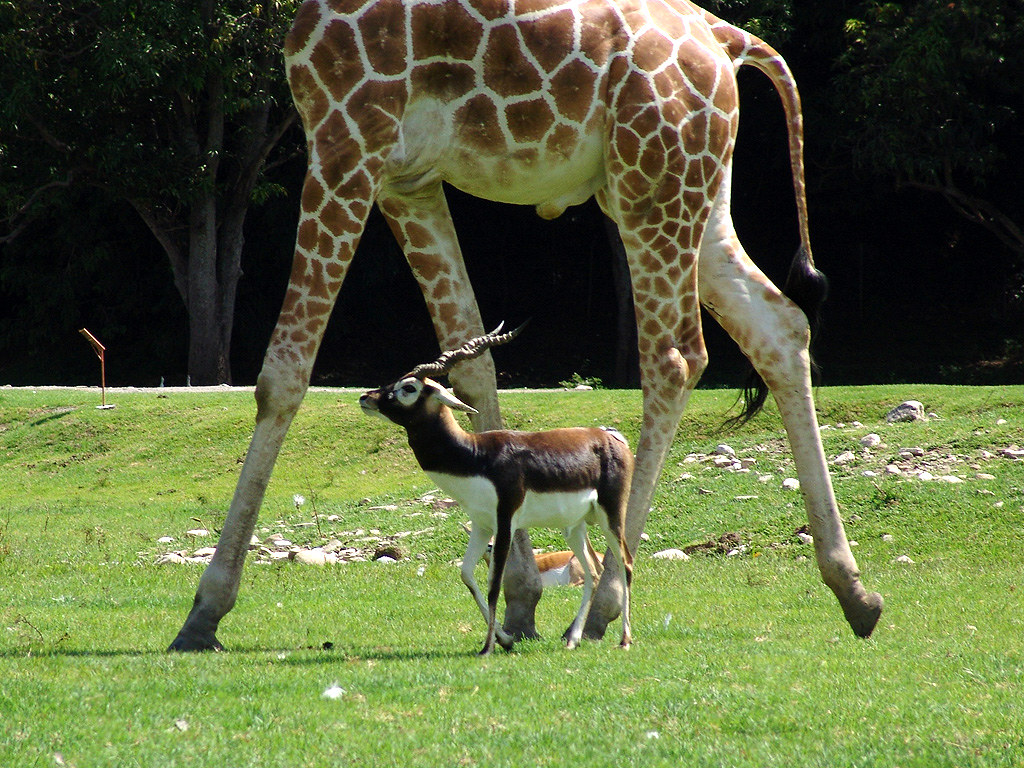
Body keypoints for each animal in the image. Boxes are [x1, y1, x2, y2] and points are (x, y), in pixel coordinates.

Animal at [169, 0, 883, 651]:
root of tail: (726, 39)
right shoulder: (407, 177)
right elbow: (471, 356)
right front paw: (519, 599)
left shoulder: (346, 135)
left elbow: (283, 374)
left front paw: (205, 611)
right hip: (685, 188)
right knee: (778, 323)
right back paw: (855, 591)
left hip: (653, 180)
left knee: (676, 356)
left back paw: (604, 607)